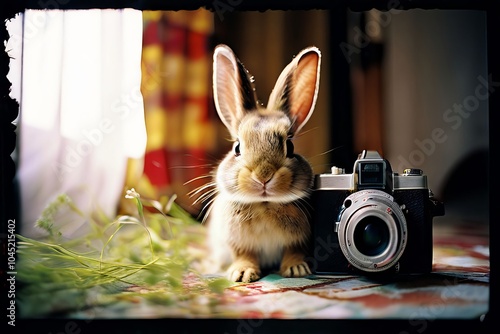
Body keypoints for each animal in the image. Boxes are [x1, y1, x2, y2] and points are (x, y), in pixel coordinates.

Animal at [200, 44, 320, 284]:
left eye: (290, 146)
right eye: (237, 147)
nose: (264, 175)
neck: (265, 205)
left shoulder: (299, 240)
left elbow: (294, 251)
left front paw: (296, 270)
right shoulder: (238, 243)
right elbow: (245, 255)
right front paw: (243, 274)